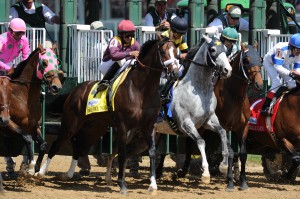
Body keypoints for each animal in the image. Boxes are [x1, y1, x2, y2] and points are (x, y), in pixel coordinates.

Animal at [0, 44, 62, 180]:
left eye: (57, 62)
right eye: (44, 63)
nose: (57, 87)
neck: (22, 95)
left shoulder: (34, 125)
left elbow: (43, 145)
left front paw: (37, 169)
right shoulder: (8, 124)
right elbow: (27, 139)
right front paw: (30, 168)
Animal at [36, 35, 179, 194]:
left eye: (176, 51)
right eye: (163, 51)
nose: (175, 72)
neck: (141, 89)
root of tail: (75, 90)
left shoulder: (149, 125)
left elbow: (152, 152)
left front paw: (152, 185)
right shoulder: (123, 126)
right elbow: (122, 153)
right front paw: (122, 185)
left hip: (95, 128)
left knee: (79, 146)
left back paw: (69, 173)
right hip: (70, 125)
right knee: (56, 144)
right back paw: (40, 173)